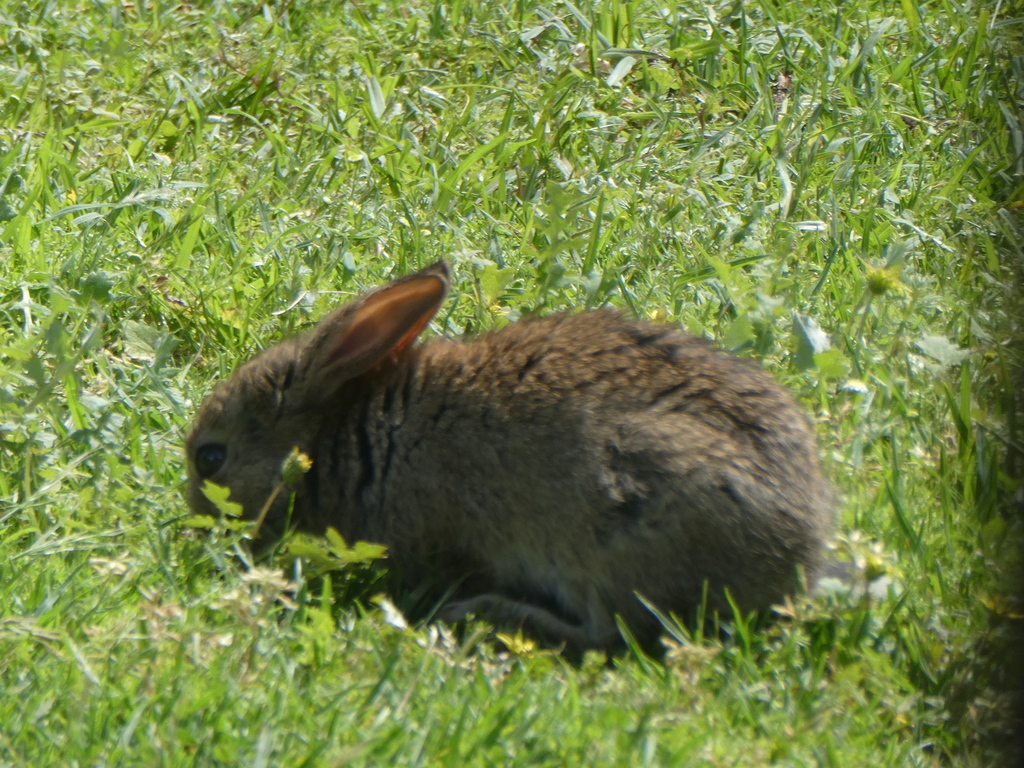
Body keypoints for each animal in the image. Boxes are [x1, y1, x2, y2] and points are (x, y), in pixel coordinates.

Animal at [186, 260, 834, 652]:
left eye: (211, 459)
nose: (199, 524)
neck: (348, 429)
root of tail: (794, 558)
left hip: (621, 536)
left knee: (608, 634)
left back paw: (484, 612)